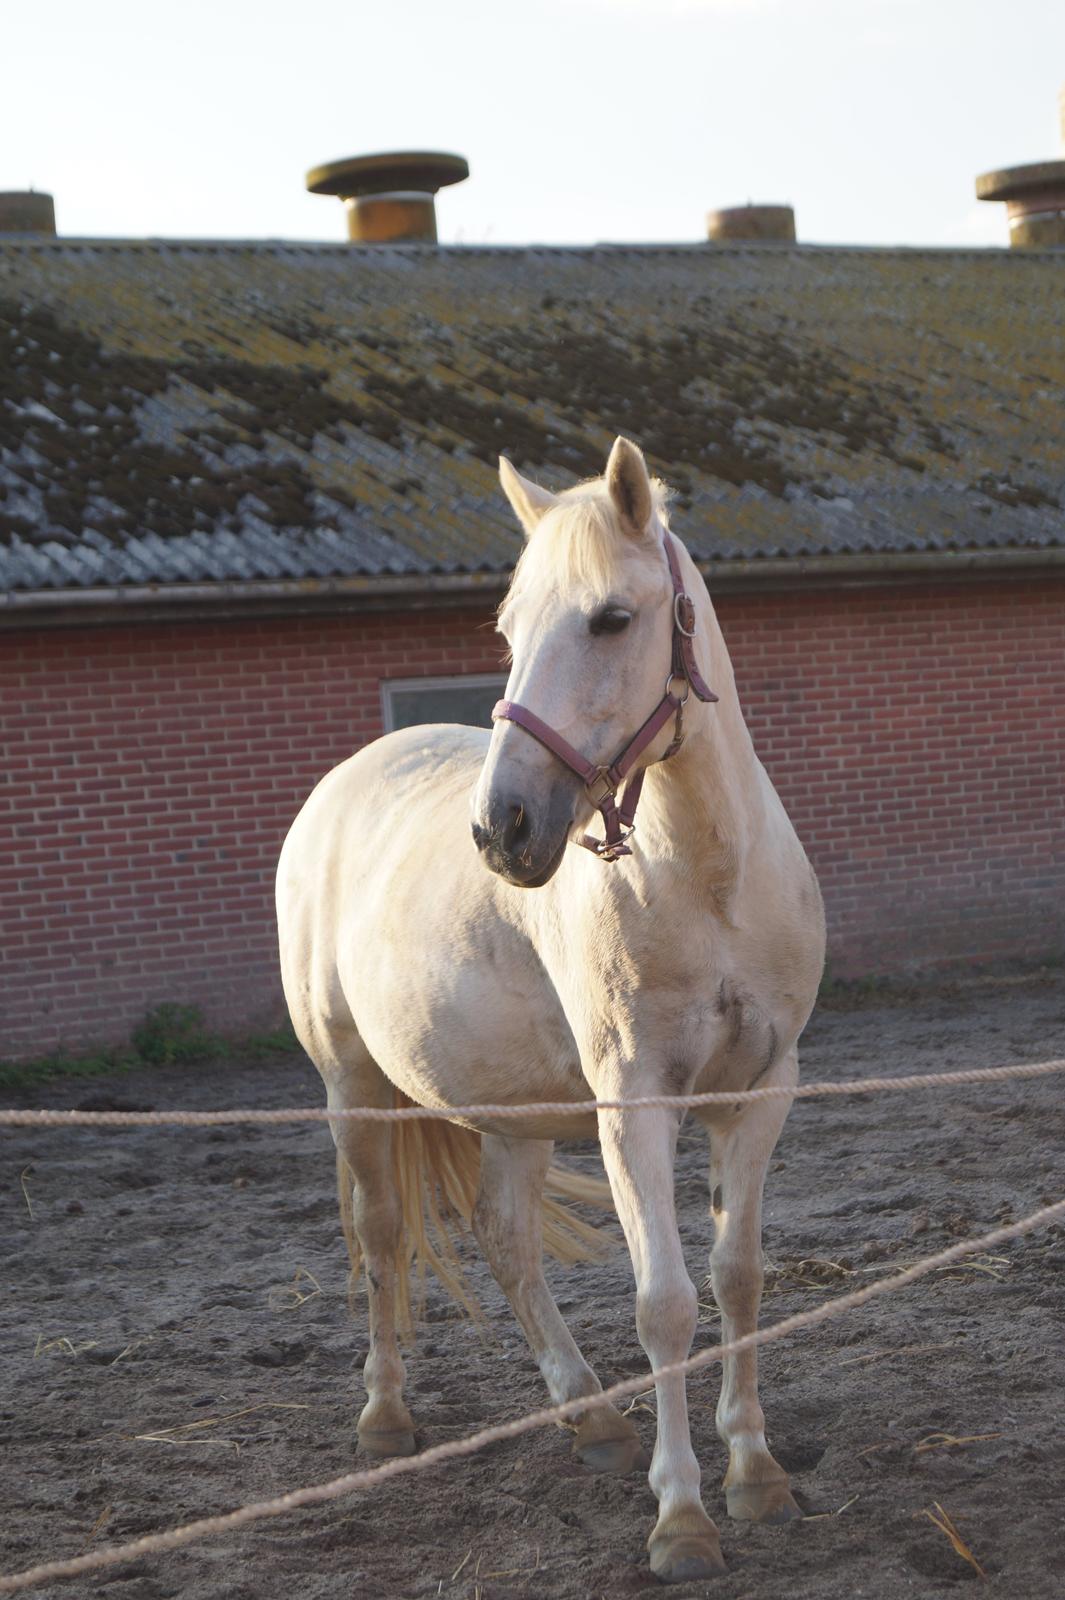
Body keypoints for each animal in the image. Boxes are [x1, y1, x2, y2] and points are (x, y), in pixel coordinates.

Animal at [273, 441, 818, 1587]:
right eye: (509, 631)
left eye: (611, 618)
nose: (503, 827)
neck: (704, 879)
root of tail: (344, 783)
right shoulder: (633, 1110)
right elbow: (666, 1302)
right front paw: (682, 1517)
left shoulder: (761, 1093)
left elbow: (738, 1280)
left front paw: (756, 1475)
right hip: (355, 1089)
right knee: (383, 1234)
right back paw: (386, 1419)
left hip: (510, 1107)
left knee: (505, 1237)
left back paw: (590, 1415)